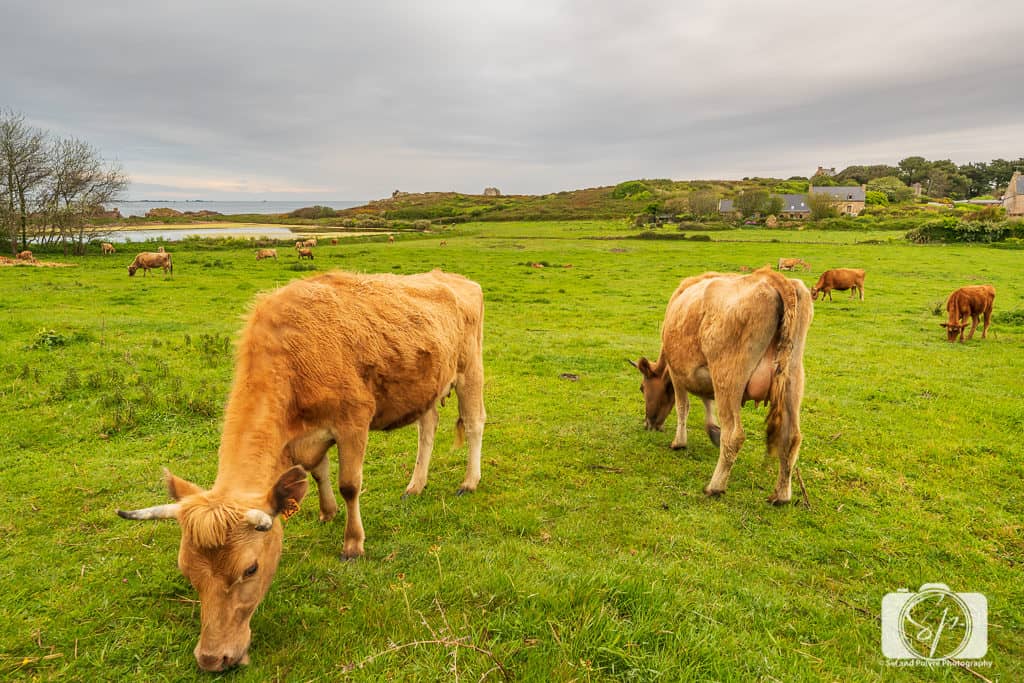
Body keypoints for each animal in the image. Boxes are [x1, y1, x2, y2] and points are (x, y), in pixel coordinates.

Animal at [117, 269, 486, 671]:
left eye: (250, 569)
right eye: (186, 570)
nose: (213, 658)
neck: (293, 354)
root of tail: (453, 277)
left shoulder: (354, 420)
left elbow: (349, 484)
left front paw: (352, 543)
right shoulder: (303, 440)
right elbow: (318, 472)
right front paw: (326, 512)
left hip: (470, 369)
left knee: (475, 423)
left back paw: (469, 481)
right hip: (428, 385)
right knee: (427, 426)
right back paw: (415, 485)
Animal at [630, 267, 813, 504]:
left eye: (643, 388)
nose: (649, 424)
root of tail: (772, 277)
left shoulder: (678, 373)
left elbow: (683, 407)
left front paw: (679, 442)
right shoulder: (704, 373)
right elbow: (707, 400)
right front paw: (712, 430)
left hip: (728, 377)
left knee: (734, 434)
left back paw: (715, 486)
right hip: (793, 378)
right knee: (792, 437)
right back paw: (781, 495)